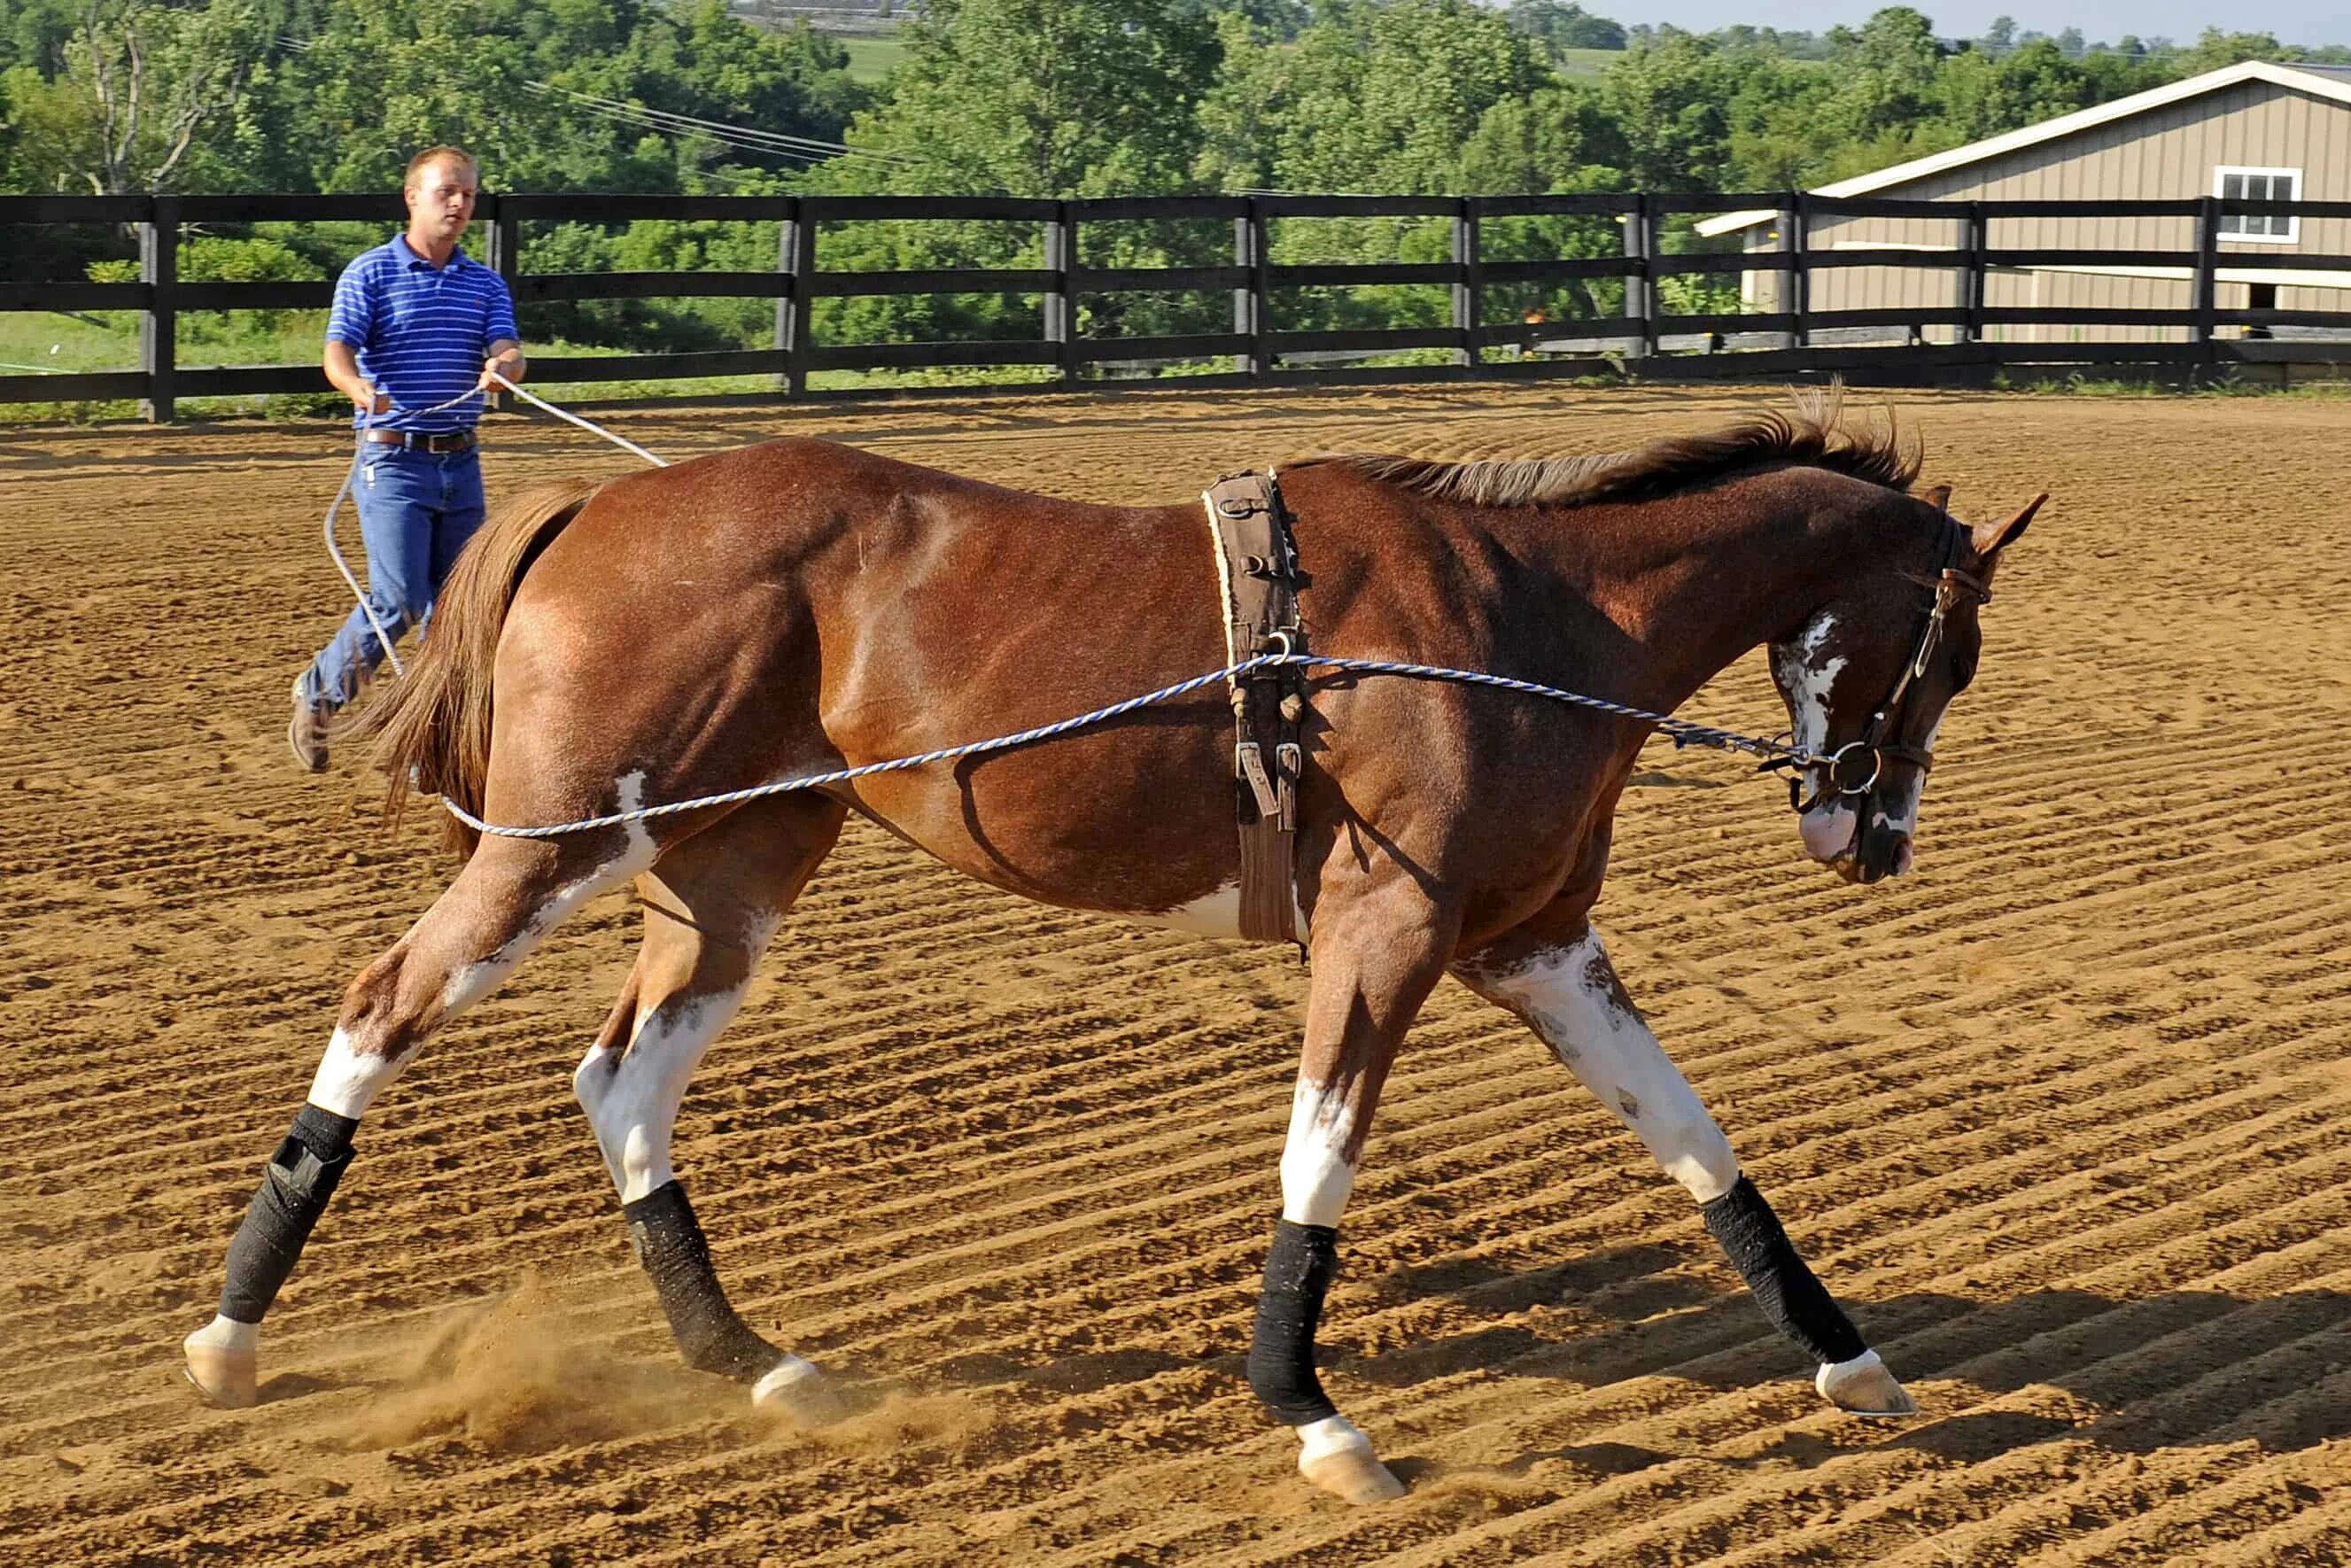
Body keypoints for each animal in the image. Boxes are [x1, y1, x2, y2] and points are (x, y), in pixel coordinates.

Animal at [183, 400, 2040, 1504]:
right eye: (1943, 652)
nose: (1870, 838)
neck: (1528, 625)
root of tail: (602, 506)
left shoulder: (1534, 945)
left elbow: (1694, 1142)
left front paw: (1848, 1358)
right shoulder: (1386, 931)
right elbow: (1320, 1159)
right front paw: (1310, 1411)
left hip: (737, 870)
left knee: (621, 1079)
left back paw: (749, 1362)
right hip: (561, 844)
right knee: (383, 1007)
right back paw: (230, 1339)